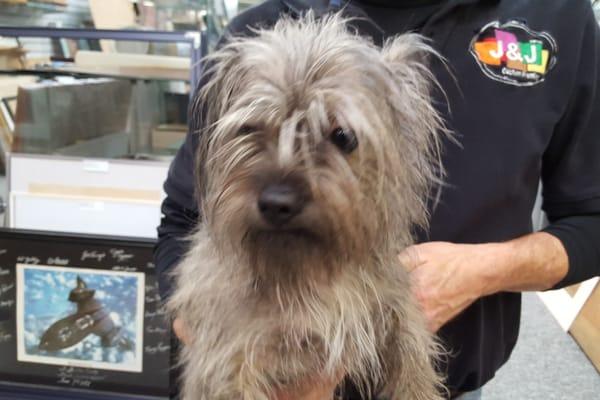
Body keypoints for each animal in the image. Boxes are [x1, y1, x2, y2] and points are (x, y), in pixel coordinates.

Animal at [168, 11, 446, 400]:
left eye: (342, 135)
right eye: (249, 128)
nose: (276, 202)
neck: (307, 272)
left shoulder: (389, 305)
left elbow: (412, 355)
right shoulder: (230, 363)